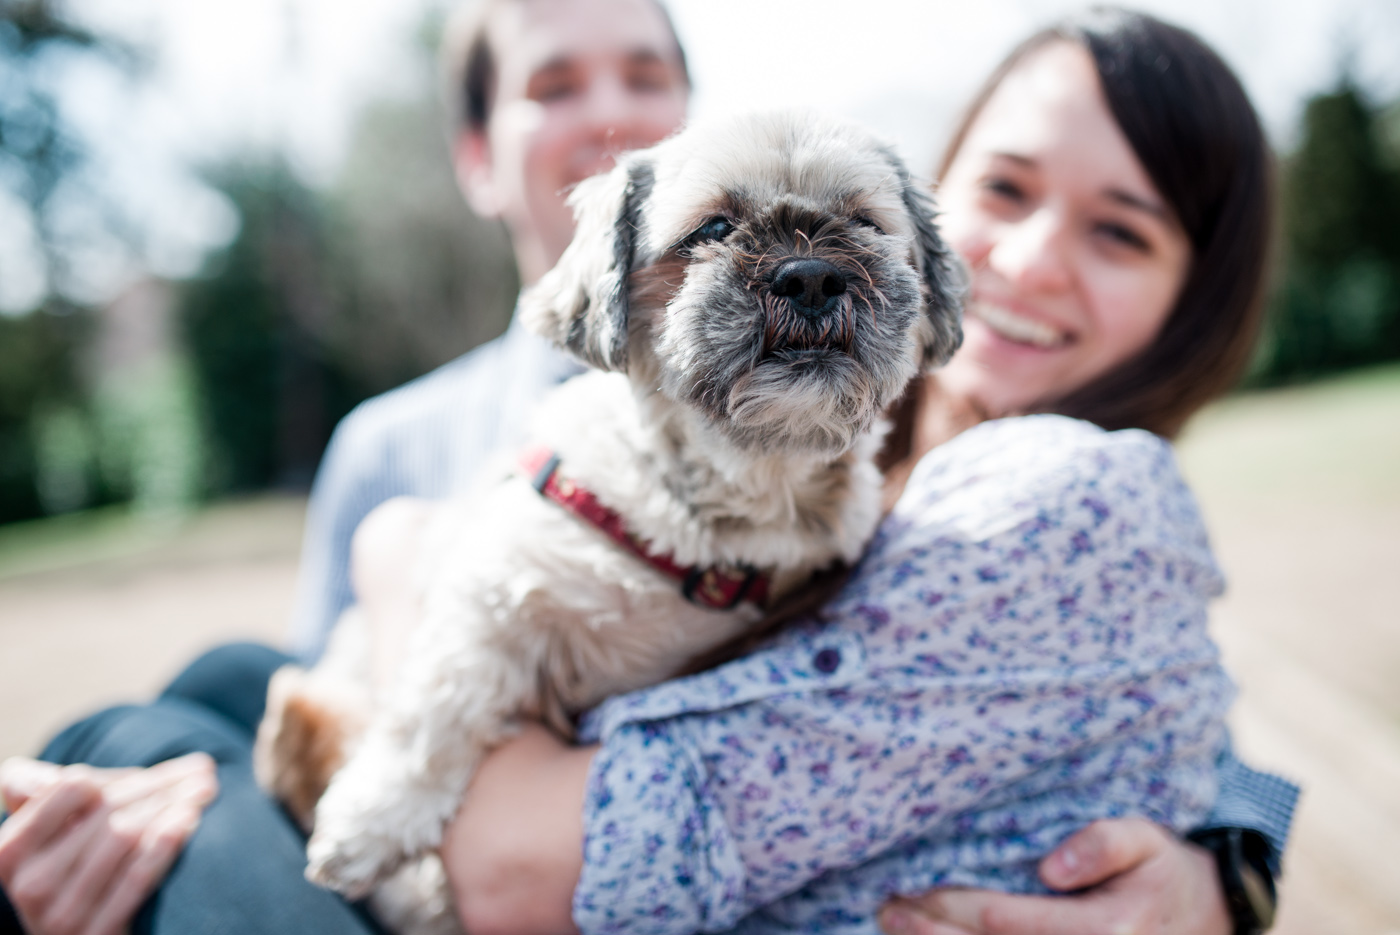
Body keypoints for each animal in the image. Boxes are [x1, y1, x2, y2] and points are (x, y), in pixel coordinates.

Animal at [254, 111, 963, 935]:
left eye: (865, 223)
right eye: (712, 229)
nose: (811, 274)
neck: (726, 511)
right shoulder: (492, 591)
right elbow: (434, 714)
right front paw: (373, 821)